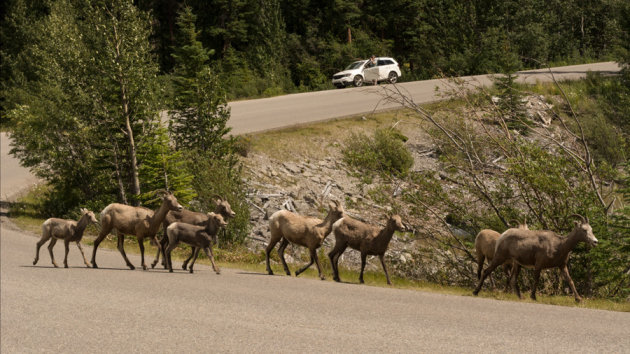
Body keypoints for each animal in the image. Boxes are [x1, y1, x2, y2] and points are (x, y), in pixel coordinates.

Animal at [474, 213, 604, 302]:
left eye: (591, 229)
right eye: (584, 230)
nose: (595, 242)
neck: (559, 245)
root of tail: (502, 236)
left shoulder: (562, 266)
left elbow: (570, 280)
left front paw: (578, 299)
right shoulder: (539, 265)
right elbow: (536, 279)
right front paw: (533, 297)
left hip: (517, 264)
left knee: (513, 279)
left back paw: (521, 297)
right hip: (499, 258)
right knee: (486, 271)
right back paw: (475, 292)